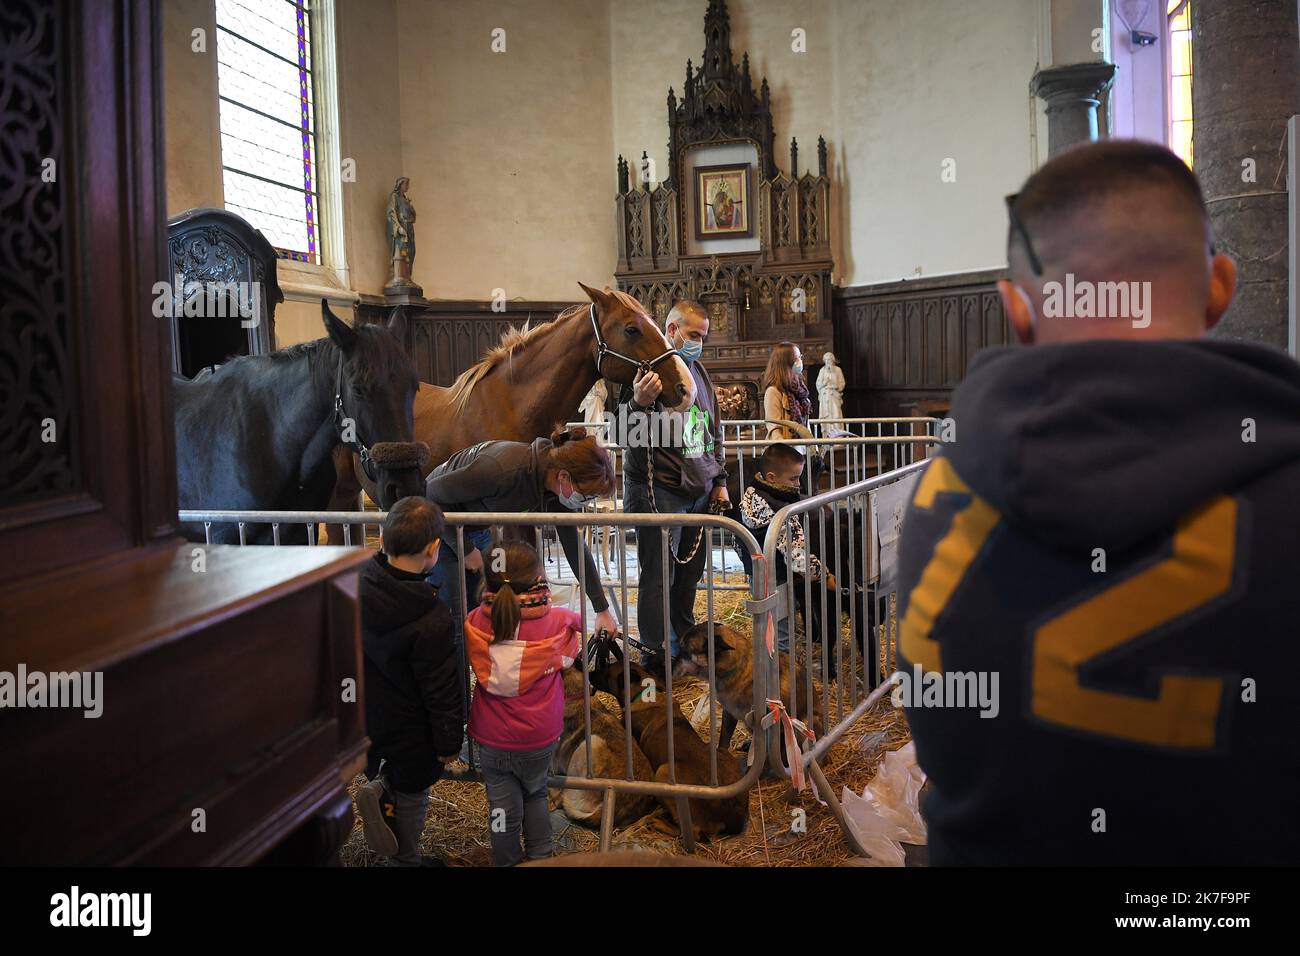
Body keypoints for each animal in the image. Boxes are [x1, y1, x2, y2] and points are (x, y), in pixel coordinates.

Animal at [592, 660, 754, 842]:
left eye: (606, 672)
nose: (589, 673)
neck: (642, 693)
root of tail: (732, 817)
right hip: (723, 753)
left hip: (663, 771)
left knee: (690, 831)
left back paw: (658, 822)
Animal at [676, 624, 826, 759]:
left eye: (684, 648)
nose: (671, 664)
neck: (737, 667)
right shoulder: (729, 713)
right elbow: (724, 739)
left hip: (802, 724)